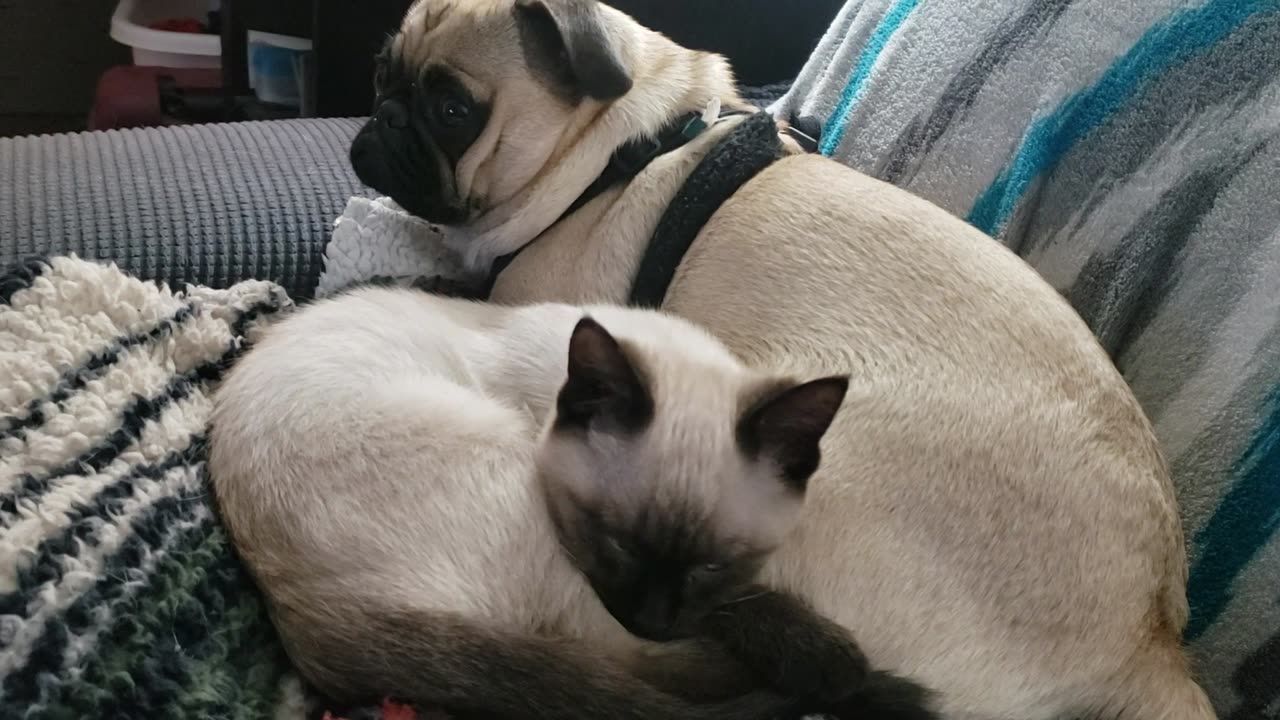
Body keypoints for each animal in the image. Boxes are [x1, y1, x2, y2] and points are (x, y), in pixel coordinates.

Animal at [207, 285, 931, 717]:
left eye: (709, 565)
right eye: (617, 544)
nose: (656, 617)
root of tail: (297, 613)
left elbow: (727, 604)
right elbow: (736, 611)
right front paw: (832, 661)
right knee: (632, 667)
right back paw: (845, 679)